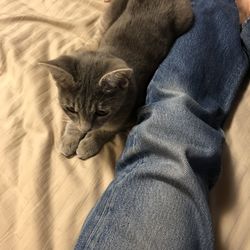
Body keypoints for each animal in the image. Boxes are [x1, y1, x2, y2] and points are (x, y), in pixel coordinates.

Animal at [40, 0, 193, 160]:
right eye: (70, 109)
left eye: (101, 112)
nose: (85, 128)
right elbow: (73, 122)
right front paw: (70, 137)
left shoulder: (130, 115)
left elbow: (107, 130)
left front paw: (89, 142)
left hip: (185, 20)